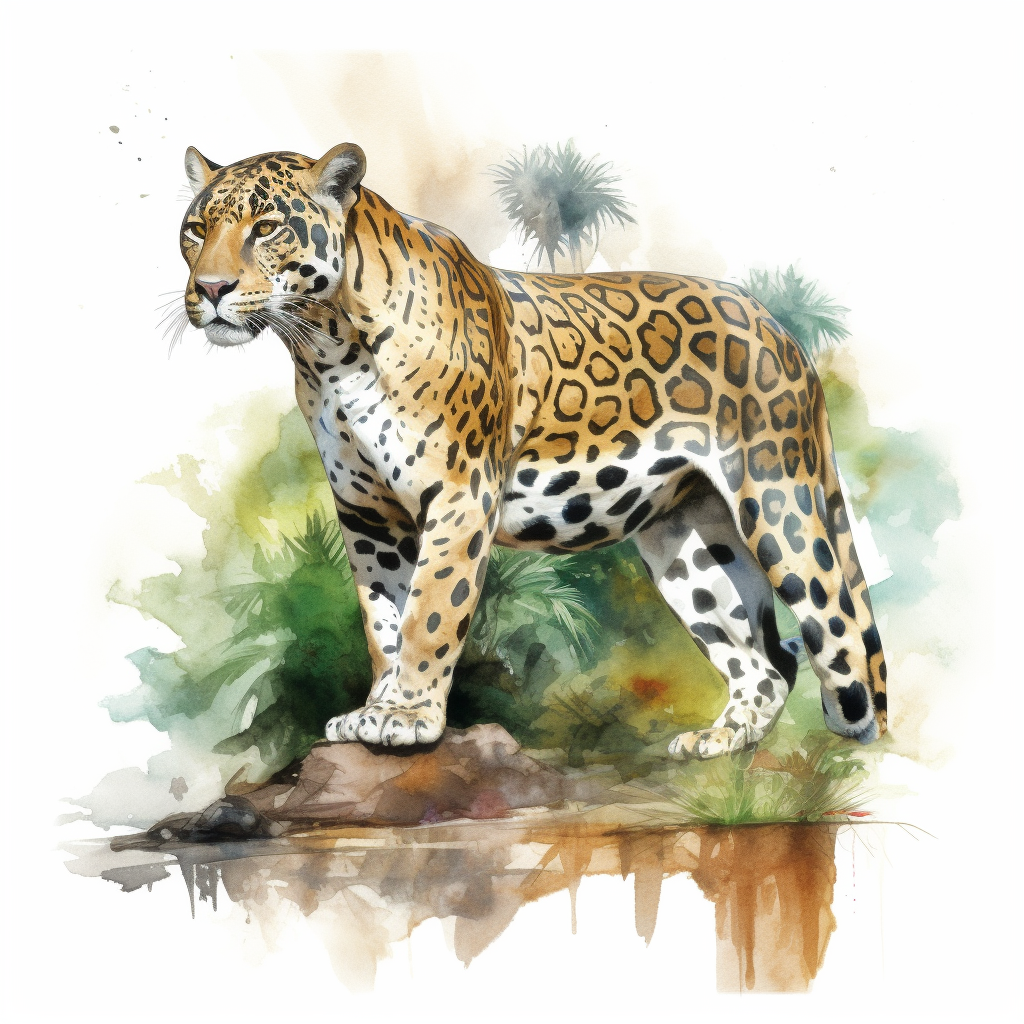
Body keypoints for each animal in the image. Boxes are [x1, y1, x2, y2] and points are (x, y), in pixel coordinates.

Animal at [179, 143, 887, 760]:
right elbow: (383, 618)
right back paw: (720, 742)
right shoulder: (367, 513)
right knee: (769, 658)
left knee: (842, 641)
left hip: (779, 502)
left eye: (267, 227)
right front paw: (376, 707)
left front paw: (407, 716)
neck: (328, 346)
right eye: (194, 230)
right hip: (689, 540)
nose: (209, 289)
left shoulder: (459, 495)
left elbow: (428, 614)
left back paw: (856, 754)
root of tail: (780, 329)